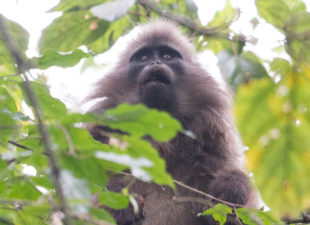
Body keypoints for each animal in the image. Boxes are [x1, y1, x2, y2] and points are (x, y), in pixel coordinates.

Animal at [87, 20, 256, 224]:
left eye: (167, 56)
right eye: (144, 57)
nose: (155, 62)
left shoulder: (211, 130)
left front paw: (229, 191)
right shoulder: (100, 128)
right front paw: (123, 205)